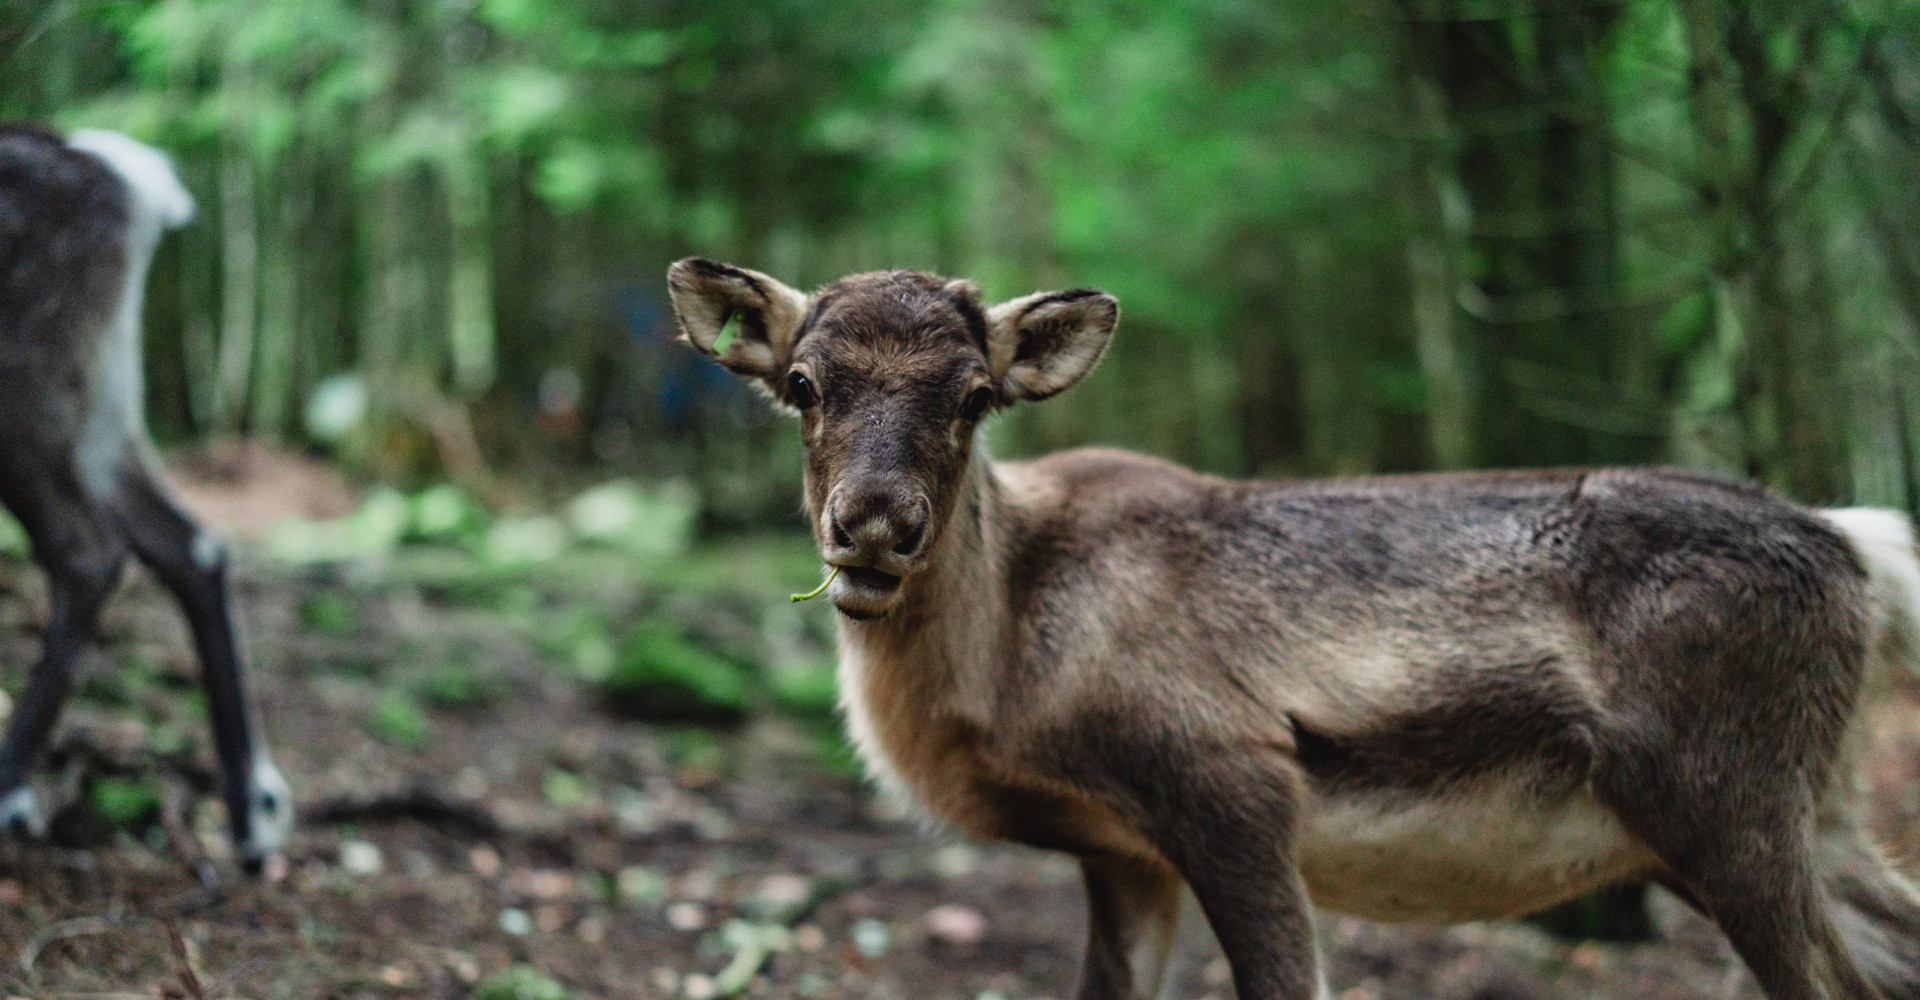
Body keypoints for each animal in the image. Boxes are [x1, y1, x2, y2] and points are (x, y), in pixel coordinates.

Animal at [0, 126, 288, 863]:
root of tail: (134, 187)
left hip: (30, 386)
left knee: (90, 553)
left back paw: (8, 788)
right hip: (101, 394)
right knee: (190, 543)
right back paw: (254, 811)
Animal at [679, 261, 1920, 998]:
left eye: (976, 394)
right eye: (803, 382)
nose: (874, 525)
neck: (1009, 669)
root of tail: (1861, 553)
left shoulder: (1230, 782)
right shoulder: (1122, 852)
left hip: (1727, 803)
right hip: (1816, 810)